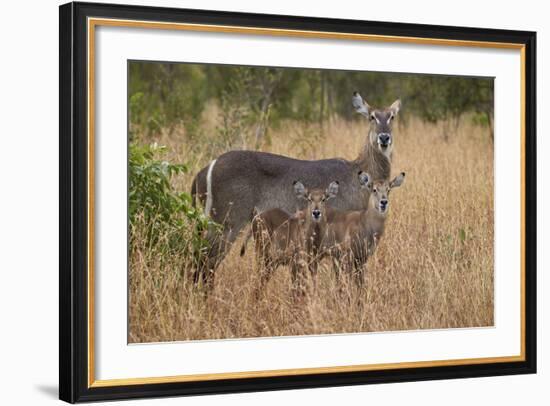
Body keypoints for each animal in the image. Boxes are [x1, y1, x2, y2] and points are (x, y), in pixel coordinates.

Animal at [192, 94, 404, 288]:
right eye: (372, 117)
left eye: (392, 116)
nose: (384, 137)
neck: (357, 174)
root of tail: (205, 169)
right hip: (226, 222)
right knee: (205, 260)